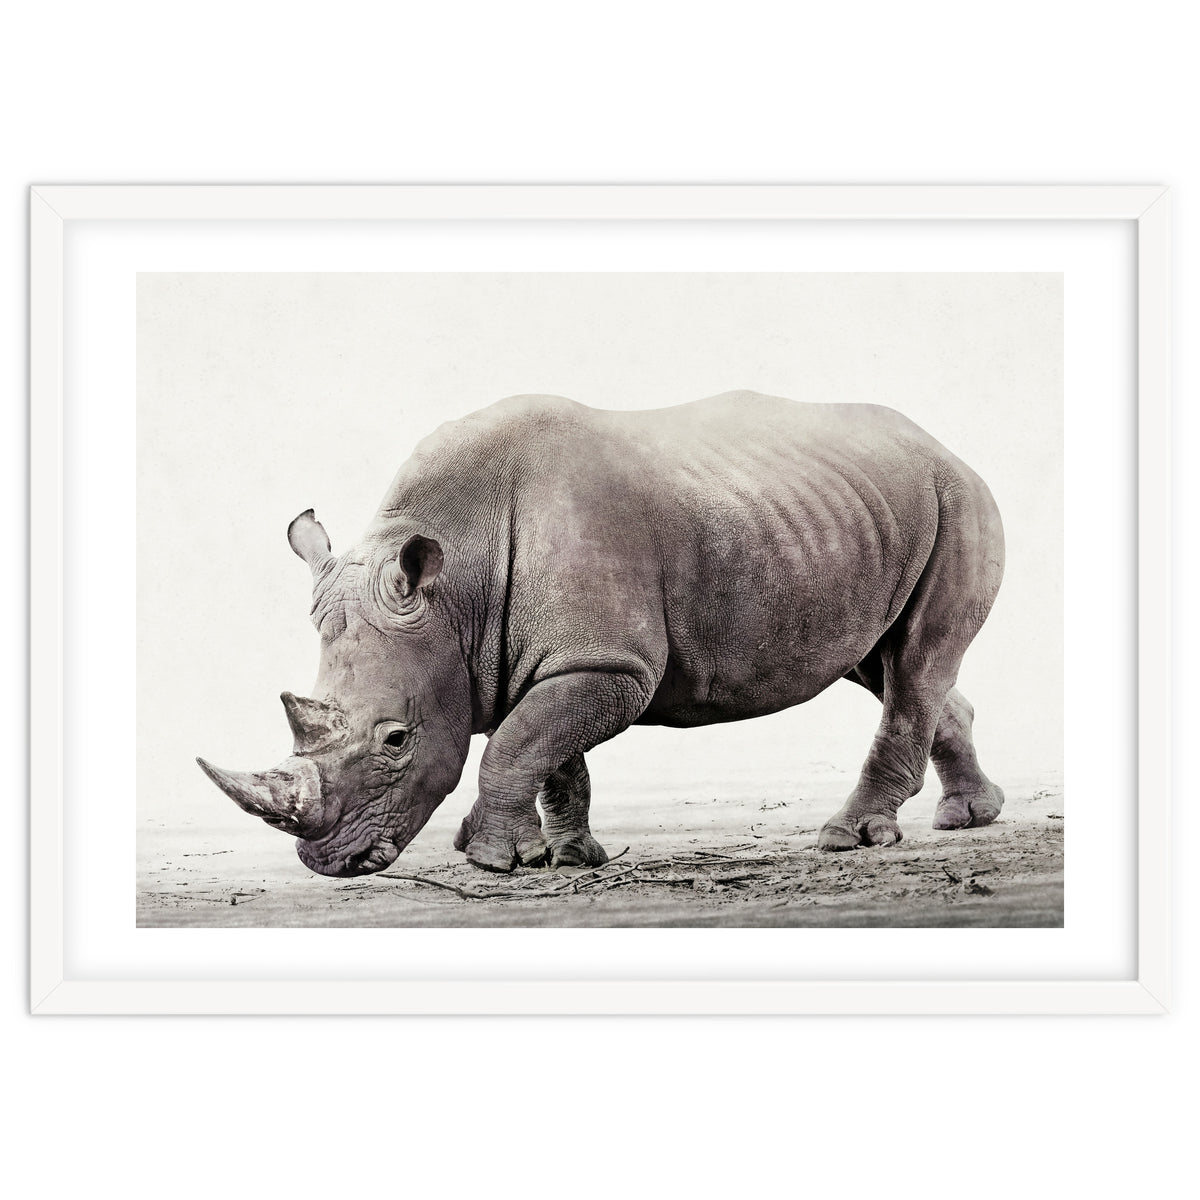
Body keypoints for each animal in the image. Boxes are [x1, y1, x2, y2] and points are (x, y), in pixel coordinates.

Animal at [197, 391, 1005, 877]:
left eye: (396, 740)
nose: (329, 862)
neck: (457, 586)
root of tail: (944, 445)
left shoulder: (609, 662)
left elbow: (519, 742)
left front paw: (491, 861)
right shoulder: (552, 658)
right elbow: (549, 750)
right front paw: (569, 856)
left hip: (958, 500)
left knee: (914, 663)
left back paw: (851, 837)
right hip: (853, 515)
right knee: (886, 664)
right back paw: (969, 818)